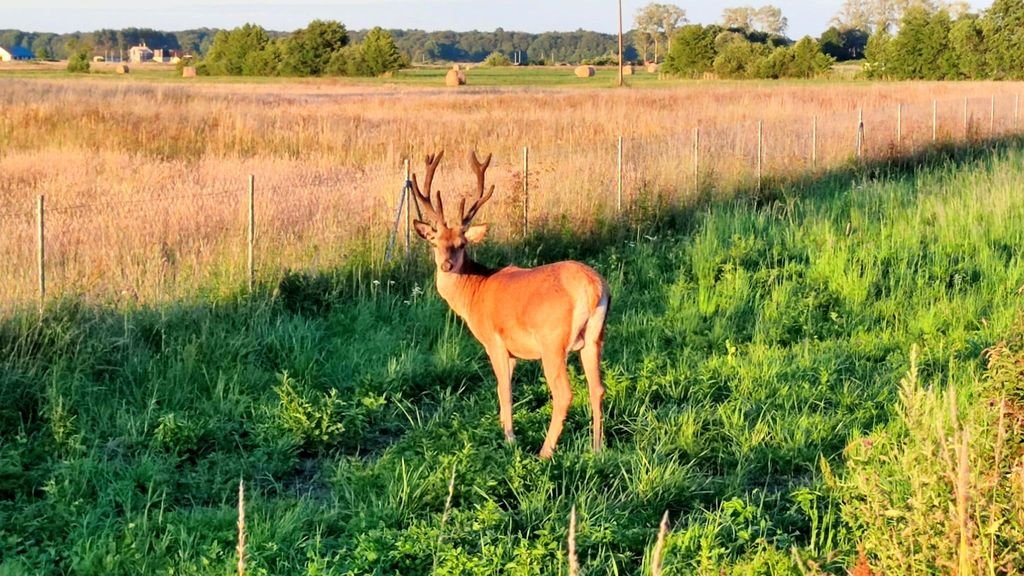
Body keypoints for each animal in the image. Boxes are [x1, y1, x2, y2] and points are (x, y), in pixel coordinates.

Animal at [411, 148, 610, 457]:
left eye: (462, 244)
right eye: (435, 242)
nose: (446, 265)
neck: (474, 292)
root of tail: (593, 288)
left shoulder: (494, 342)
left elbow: (503, 390)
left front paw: (509, 438)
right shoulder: (514, 352)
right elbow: (504, 389)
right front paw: (503, 428)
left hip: (553, 341)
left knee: (564, 393)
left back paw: (545, 452)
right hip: (594, 338)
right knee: (597, 387)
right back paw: (597, 448)